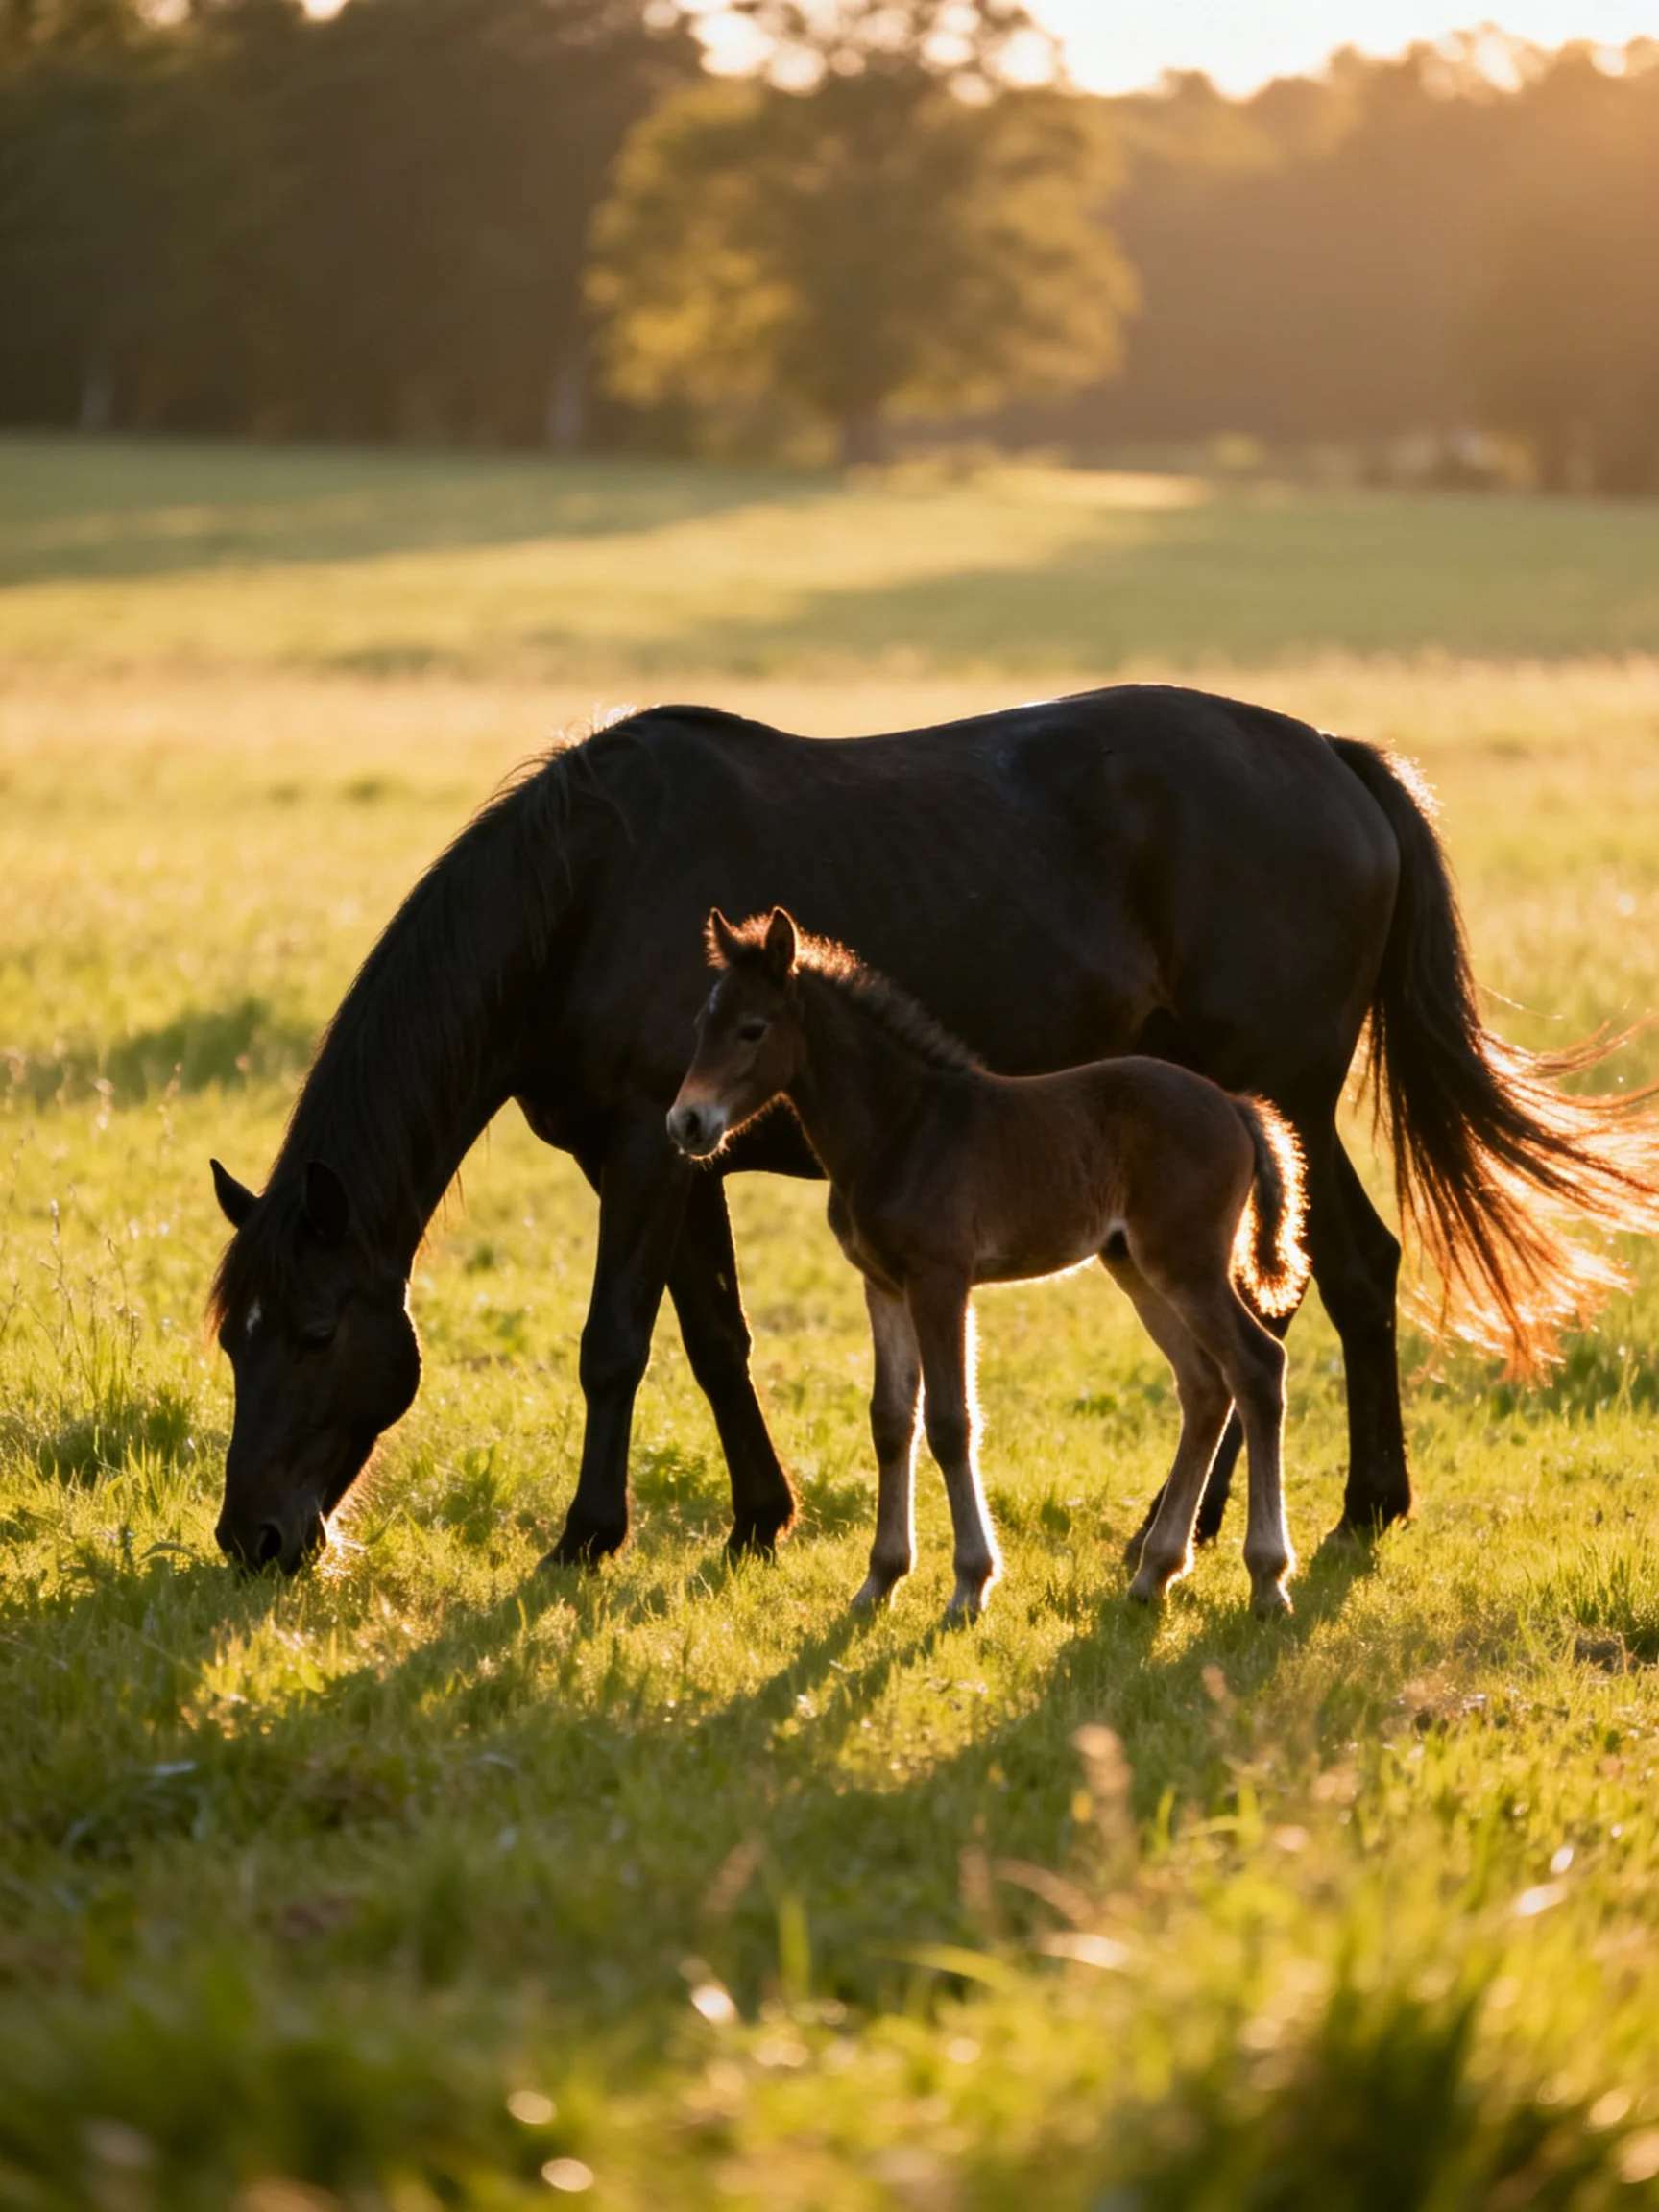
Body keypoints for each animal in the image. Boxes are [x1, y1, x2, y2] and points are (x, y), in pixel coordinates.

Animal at [669, 907, 1311, 1621]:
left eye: (753, 1029)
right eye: (702, 1025)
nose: (686, 1122)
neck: (899, 1129)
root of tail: (1235, 1106)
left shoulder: (940, 1279)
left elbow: (951, 1421)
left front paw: (969, 1586)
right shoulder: (882, 1284)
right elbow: (890, 1420)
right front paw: (879, 1581)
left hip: (1188, 1262)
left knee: (1256, 1366)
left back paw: (1267, 1578)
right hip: (1138, 1268)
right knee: (1204, 1386)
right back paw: (1154, 1572)